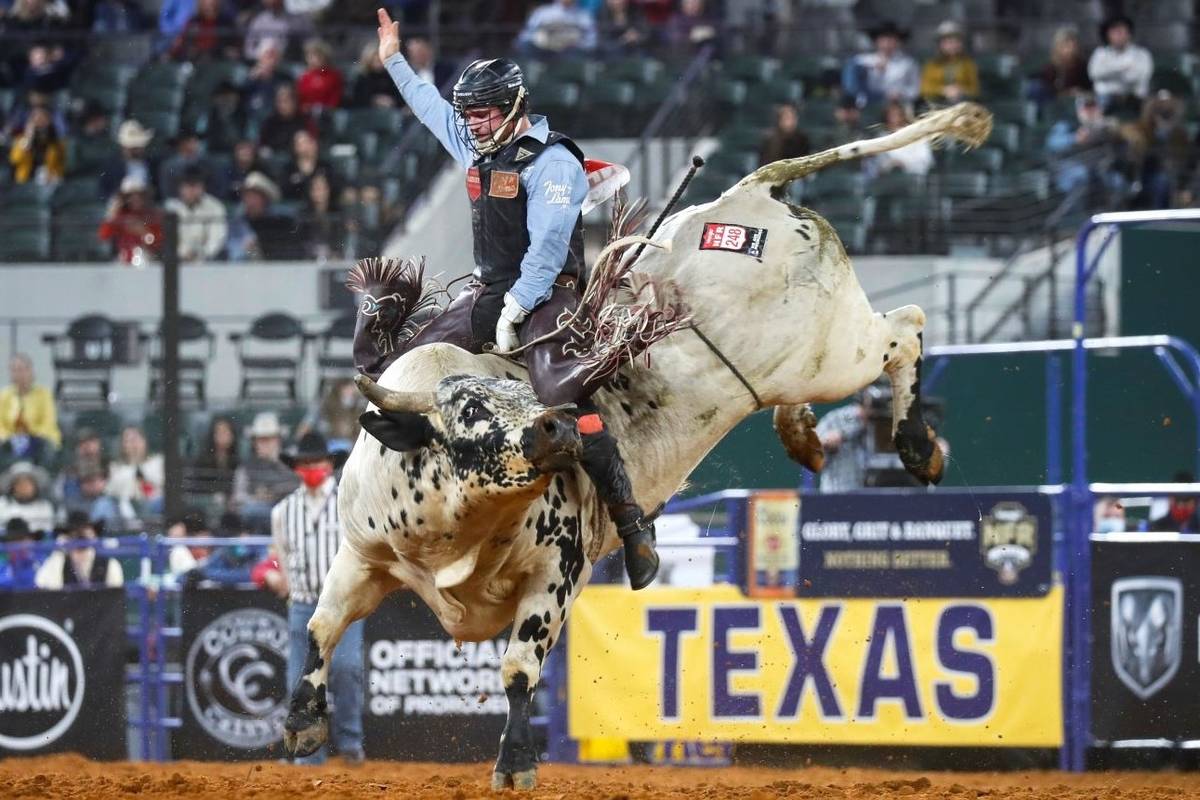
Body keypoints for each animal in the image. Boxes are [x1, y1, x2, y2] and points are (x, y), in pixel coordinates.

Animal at [280, 100, 993, 786]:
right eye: (473, 410)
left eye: (524, 397)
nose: (559, 425)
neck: (454, 529)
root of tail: (752, 195)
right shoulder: (361, 556)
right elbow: (320, 627)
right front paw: (300, 723)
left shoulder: (558, 573)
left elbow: (518, 668)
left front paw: (516, 759)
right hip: (811, 364)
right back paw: (805, 437)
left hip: (833, 354)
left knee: (908, 327)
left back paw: (916, 444)